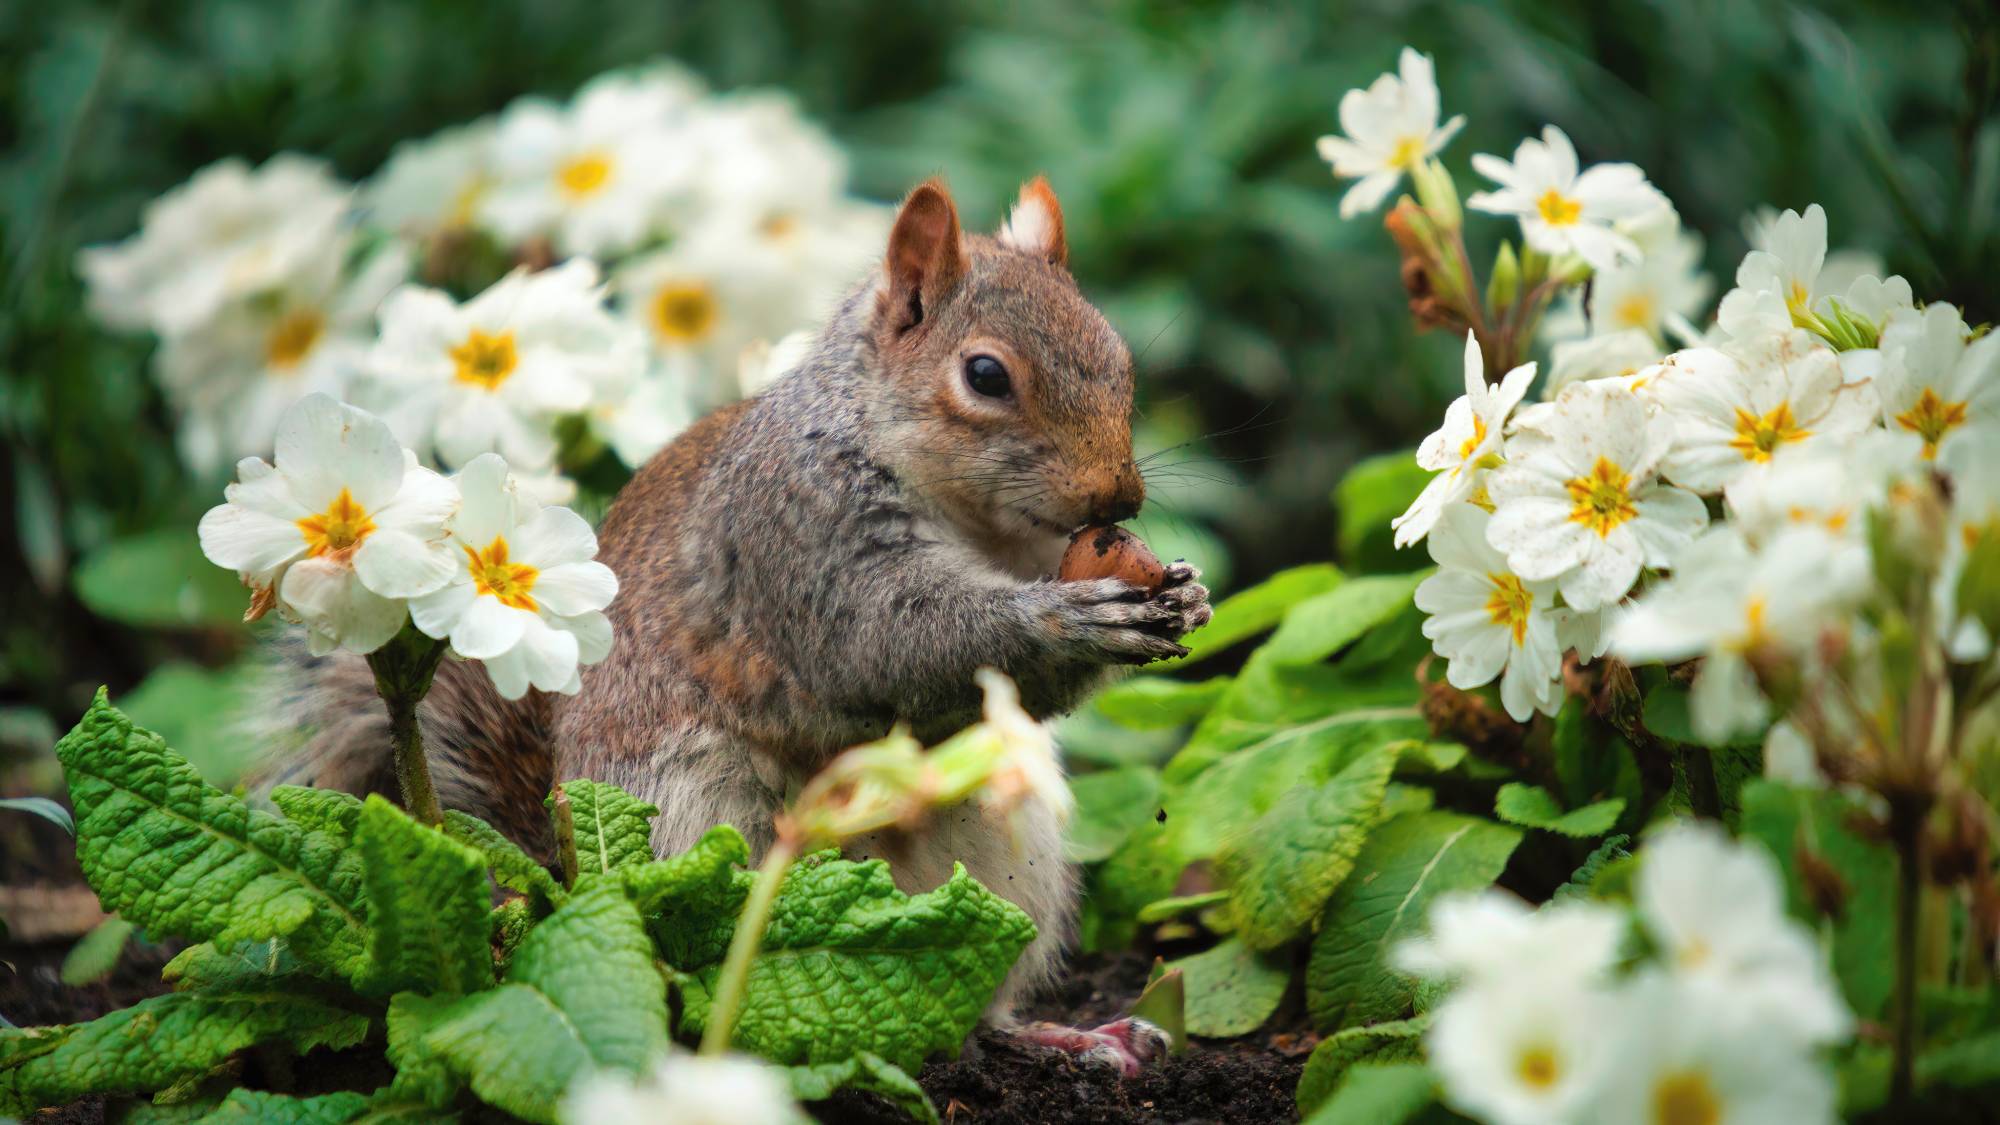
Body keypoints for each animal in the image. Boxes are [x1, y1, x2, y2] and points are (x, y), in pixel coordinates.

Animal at [260, 177, 1211, 1071]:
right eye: (985, 375)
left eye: (1118, 355)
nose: (1119, 496)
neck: (975, 519)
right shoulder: (796, 536)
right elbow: (894, 645)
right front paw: (1071, 617)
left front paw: (1186, 593)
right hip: (702, 825)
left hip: (1009, 852)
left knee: (971, 999)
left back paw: (1068, 1036)